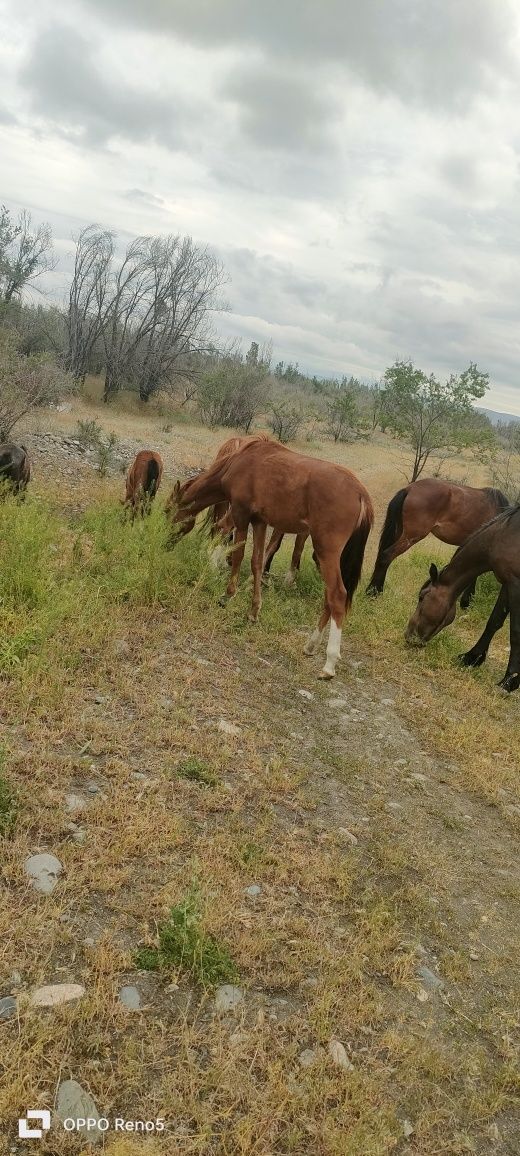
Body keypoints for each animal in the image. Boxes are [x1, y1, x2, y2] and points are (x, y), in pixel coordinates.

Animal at [166, 436, 374, 679]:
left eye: (168, 511)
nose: (164, 541)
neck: (239, 461)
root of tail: (361, 492)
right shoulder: (260, 521)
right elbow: (256, 562)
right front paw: (254, 610)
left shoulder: (241, 514)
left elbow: (238, 555)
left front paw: (227, 595)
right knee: (328, 597)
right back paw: (311, 644)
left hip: (326, 551)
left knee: (337, 595)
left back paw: (329, 663)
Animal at [406, 504, 520, 684]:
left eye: (421, 597)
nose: (408, 636)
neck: (505, 532)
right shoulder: (508, 582)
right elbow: (494, 622)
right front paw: (471, 657)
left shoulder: (516, 584)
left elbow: (515, 631)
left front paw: (510, 680)